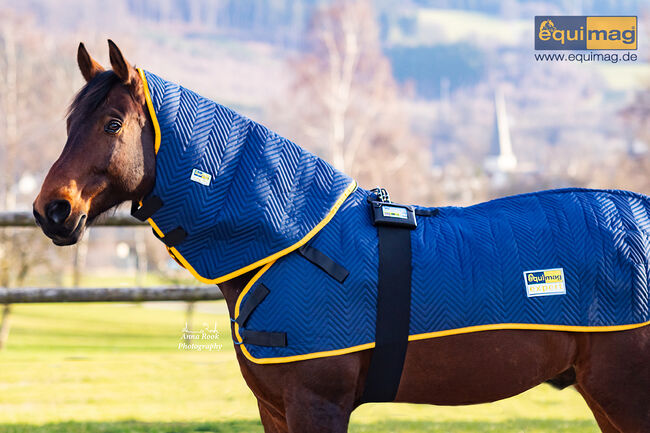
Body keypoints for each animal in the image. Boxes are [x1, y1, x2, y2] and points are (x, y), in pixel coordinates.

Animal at [33, 40, 650, 433]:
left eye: (113, 124)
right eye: (68, 123)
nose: (51, 210)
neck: (287, 242)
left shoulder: (317, 405)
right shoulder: (276, 409)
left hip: (623, 395)